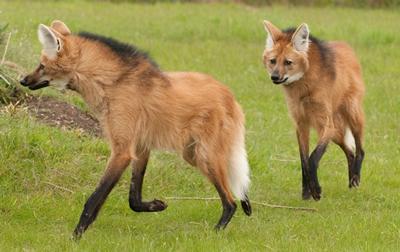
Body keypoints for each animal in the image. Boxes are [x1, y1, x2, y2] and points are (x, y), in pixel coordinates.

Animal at [20, 20, 252, 239]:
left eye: (41, 65)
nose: (22, 79)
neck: (111, 83)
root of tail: (230, 96)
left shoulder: (122, 151)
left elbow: (94, 199)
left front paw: (75, 237)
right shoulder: (140, 146)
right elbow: (133, 198)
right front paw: (157, 205)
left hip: (205, 156)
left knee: (230, 201)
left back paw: (216, 231)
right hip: (192, 154)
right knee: (234, 182)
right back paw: (245, 200)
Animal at [260, 19, 368, 201]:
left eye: (288, 62)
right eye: (273, 61)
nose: (274, 77)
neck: (303, 86)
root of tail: (347, 47)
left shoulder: (325, 125)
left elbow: (312, 158)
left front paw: (315, 190)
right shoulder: (301, 124)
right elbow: (303, 160)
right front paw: (306, 193)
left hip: (351, 116)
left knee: (360, 150)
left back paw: (355, 179)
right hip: (336, 131)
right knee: (350, 151)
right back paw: (350, 182)